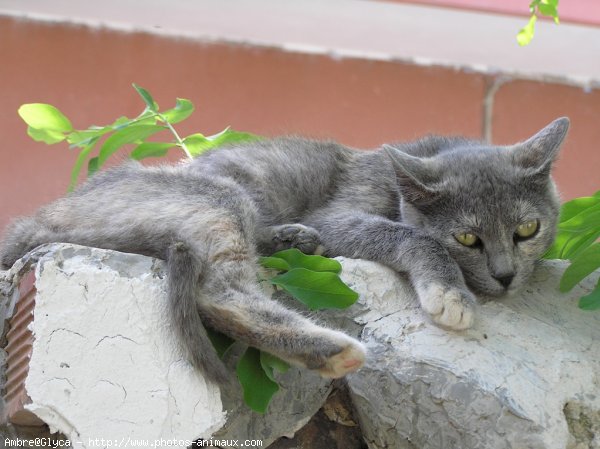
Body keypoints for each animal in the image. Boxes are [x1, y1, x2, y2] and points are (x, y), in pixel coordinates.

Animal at [0, 115, 572, 382]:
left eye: (527, 230)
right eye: (467, 238)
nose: (505, 276)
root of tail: (35, 219)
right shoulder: (339, 214)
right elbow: (411, 235)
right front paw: (450, 295)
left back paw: (292, 241)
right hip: (217, 199)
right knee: (220, 291)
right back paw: (331, 349)